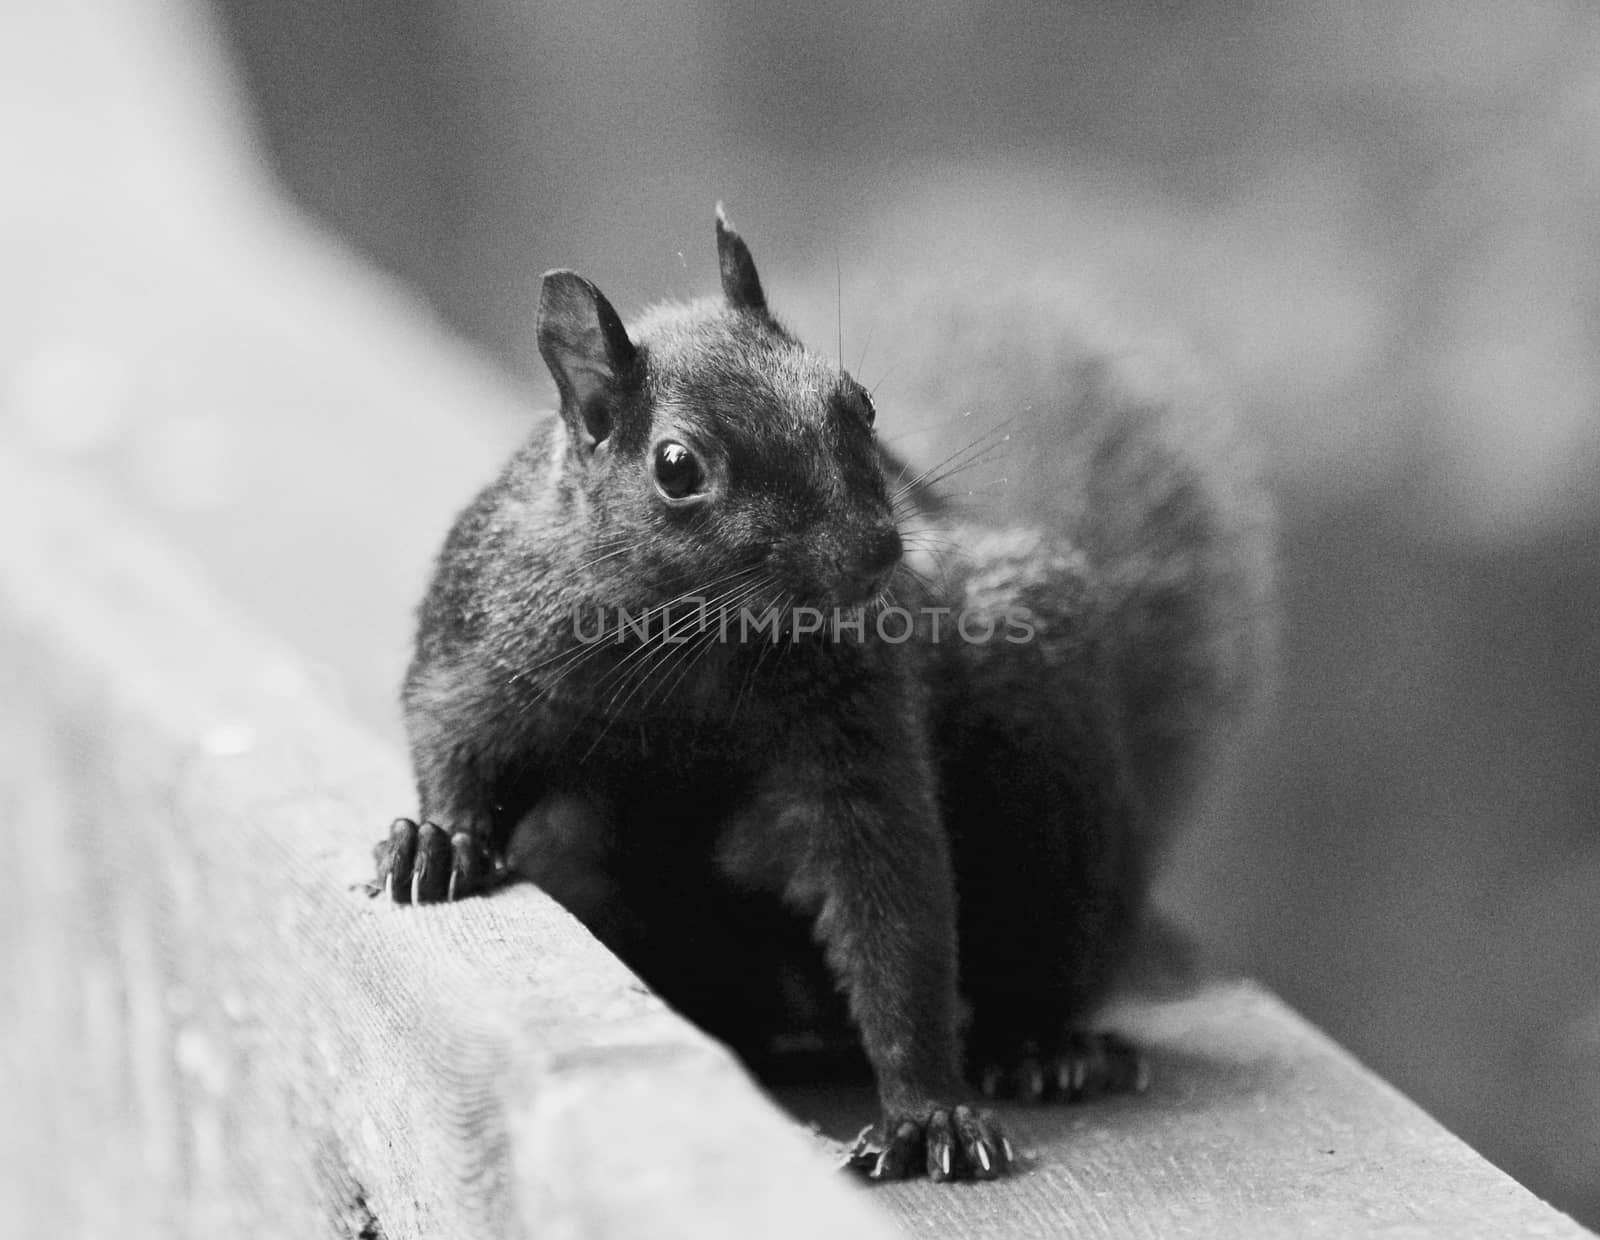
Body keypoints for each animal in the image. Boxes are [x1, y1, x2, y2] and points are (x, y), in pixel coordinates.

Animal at [371, 208, 1273, 1190]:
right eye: (676, 466)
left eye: (862, 404)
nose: (878, 551)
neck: (693, 641)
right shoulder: (483, 637)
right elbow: (451, 734)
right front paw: (438, 840)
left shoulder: (857, 727)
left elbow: (891, 904)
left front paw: (927, 1110)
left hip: (1045, 745)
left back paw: (1044, 1046)